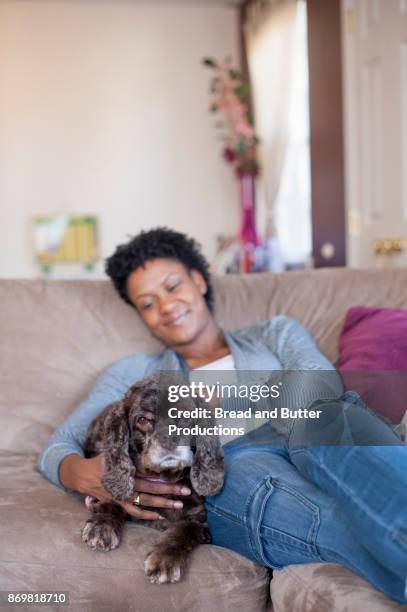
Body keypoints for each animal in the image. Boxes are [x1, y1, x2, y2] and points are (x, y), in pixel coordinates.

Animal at [81, 372, 225, 584]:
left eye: (185, 416)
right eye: (142, 420)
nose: (169, 440)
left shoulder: (203, 521)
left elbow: (185, 528)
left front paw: (165, 558)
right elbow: (115, 500)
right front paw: (102, 524)